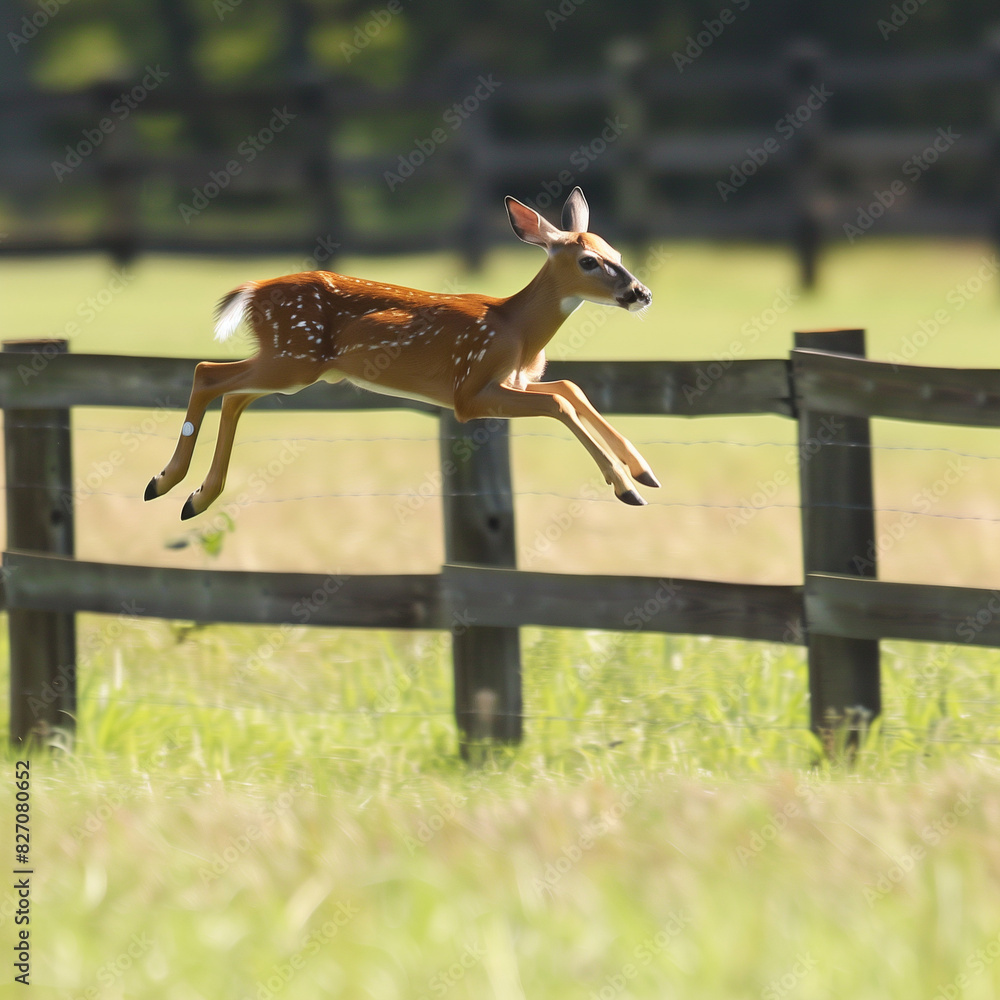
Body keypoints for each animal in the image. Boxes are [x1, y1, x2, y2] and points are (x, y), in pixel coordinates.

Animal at [144, 187, 658, 520]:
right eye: (589, 260)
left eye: (616, 252)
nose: (641, 293)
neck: (516, 329)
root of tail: (253, 290)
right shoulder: (469, 391)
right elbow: (558, 401)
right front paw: (627, 487)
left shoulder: (513, 381)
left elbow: (569, 387)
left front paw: (643, 471)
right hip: (293, 358)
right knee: (207, 373)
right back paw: (164, 482)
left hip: (290, 363)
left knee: (231, 394)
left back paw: (194, 497)